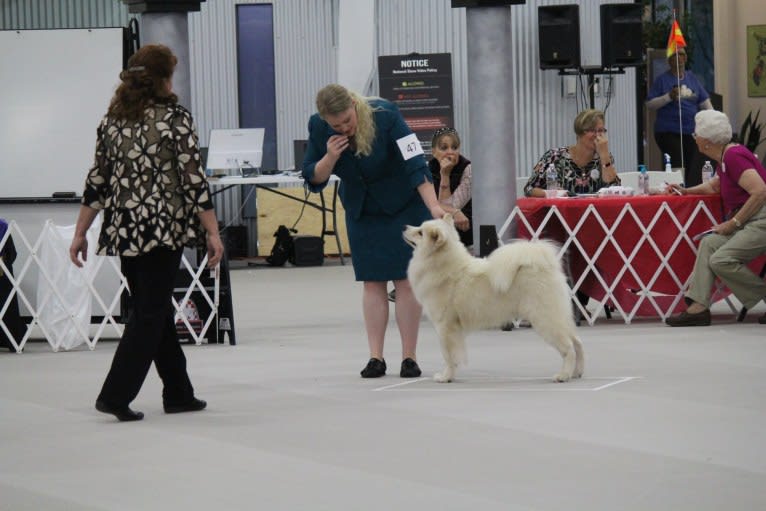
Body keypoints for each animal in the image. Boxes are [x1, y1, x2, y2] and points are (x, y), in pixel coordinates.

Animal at [404, 215, 584, 384]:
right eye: (419, 228)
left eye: (420, 232)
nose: (405, 227)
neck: (442, 265)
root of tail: (545, 266)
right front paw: (449, 376)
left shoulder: (445, 327)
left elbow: (449, 356)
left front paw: (445, 377)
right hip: (559, 317)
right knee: (577, 342)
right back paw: (576, 373)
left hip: (545, 319)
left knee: (569, 348)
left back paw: (563, 375)